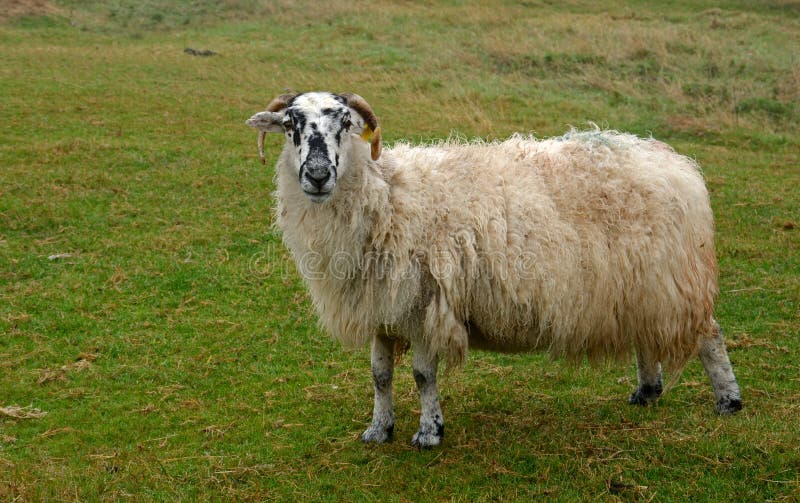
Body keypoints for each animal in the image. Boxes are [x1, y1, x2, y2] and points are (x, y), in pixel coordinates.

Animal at [245, 91, 742, 448]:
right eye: (290, 125)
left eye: (345, 123)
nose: (317, 175)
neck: (388, 195)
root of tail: (673, 161)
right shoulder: (383, 306)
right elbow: (380, 376)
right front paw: (378, 430)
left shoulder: (425, 304)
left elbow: (423, 376)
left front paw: (429, 433)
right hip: (638, 282)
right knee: (646, 334)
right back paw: (647, 392)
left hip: (673, 277)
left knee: (710, 336)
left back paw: (728, 401)